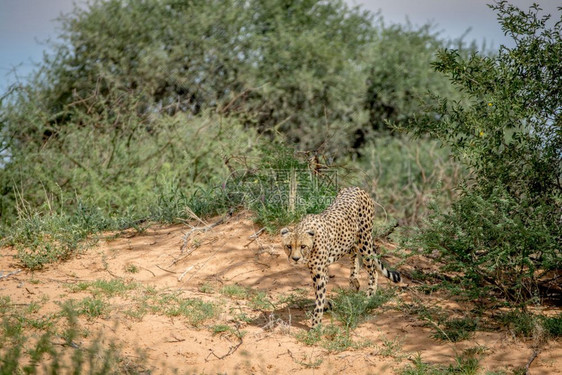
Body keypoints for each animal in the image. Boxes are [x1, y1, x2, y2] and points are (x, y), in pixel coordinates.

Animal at [278, 187, 398, 328]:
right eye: (289, 246)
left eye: (303, 246)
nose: (295, 259)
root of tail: (356, 188)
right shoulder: (317, 271)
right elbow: (320, 290)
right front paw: (326, 305)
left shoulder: (319, 271)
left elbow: (319, 295)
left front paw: (316, 324)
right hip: (348, 240)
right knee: (354, 252)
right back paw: (354, 280)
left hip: (364, 239)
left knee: (373, 270)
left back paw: (368, 296)